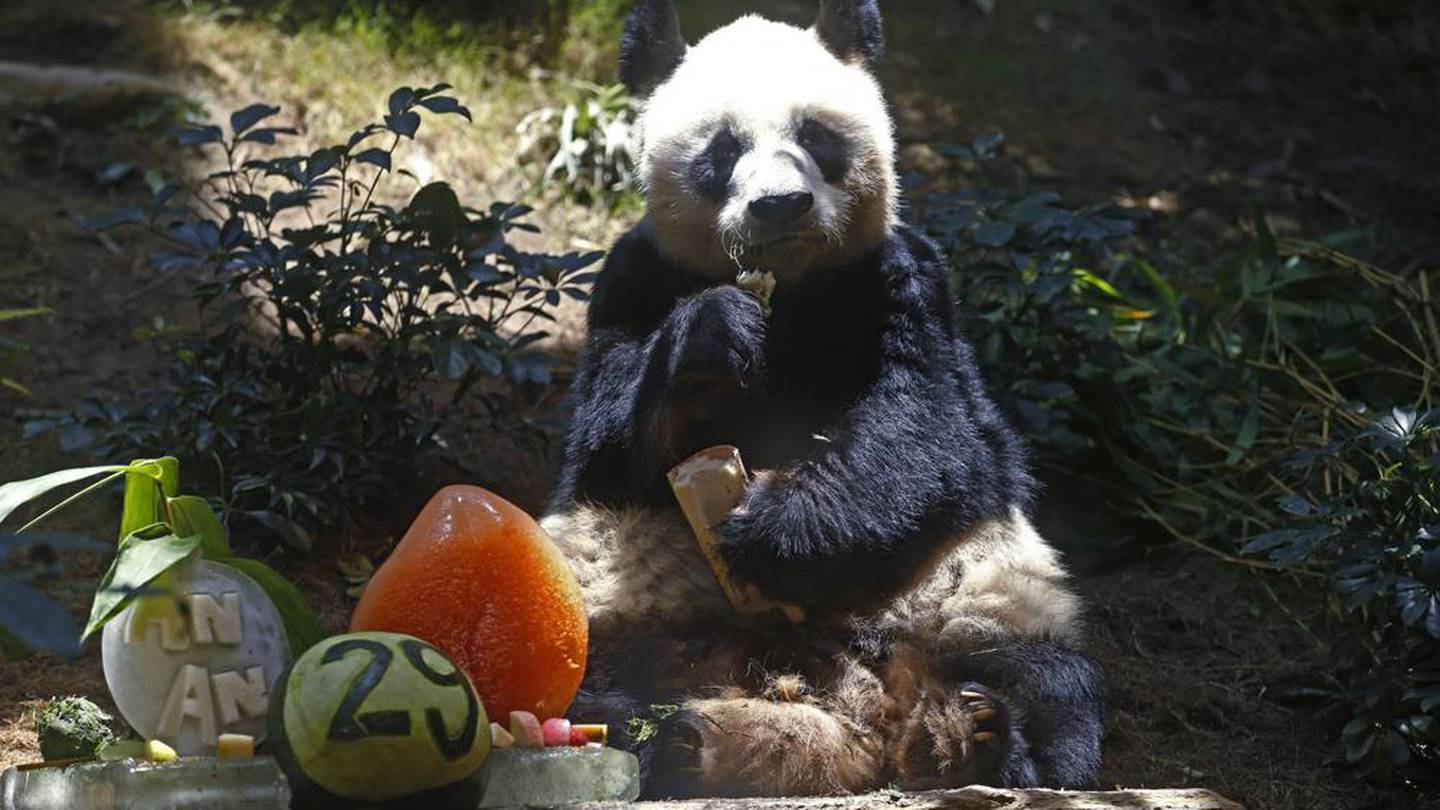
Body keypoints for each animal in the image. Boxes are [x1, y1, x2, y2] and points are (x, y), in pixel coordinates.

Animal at [539, 0, 1106, 797]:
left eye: (815, 137)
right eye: (723, 150)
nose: (781, 205)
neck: (794, 289)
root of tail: (861, 718)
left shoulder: (903, 280)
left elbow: (931, 434)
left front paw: (771, 527)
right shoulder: (631, 278)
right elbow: (609, 439)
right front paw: (714, 338)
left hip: (985, 597)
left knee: (1051, 684)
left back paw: (982, 737)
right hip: (607, 601)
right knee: (580, 685)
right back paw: (679, 738)